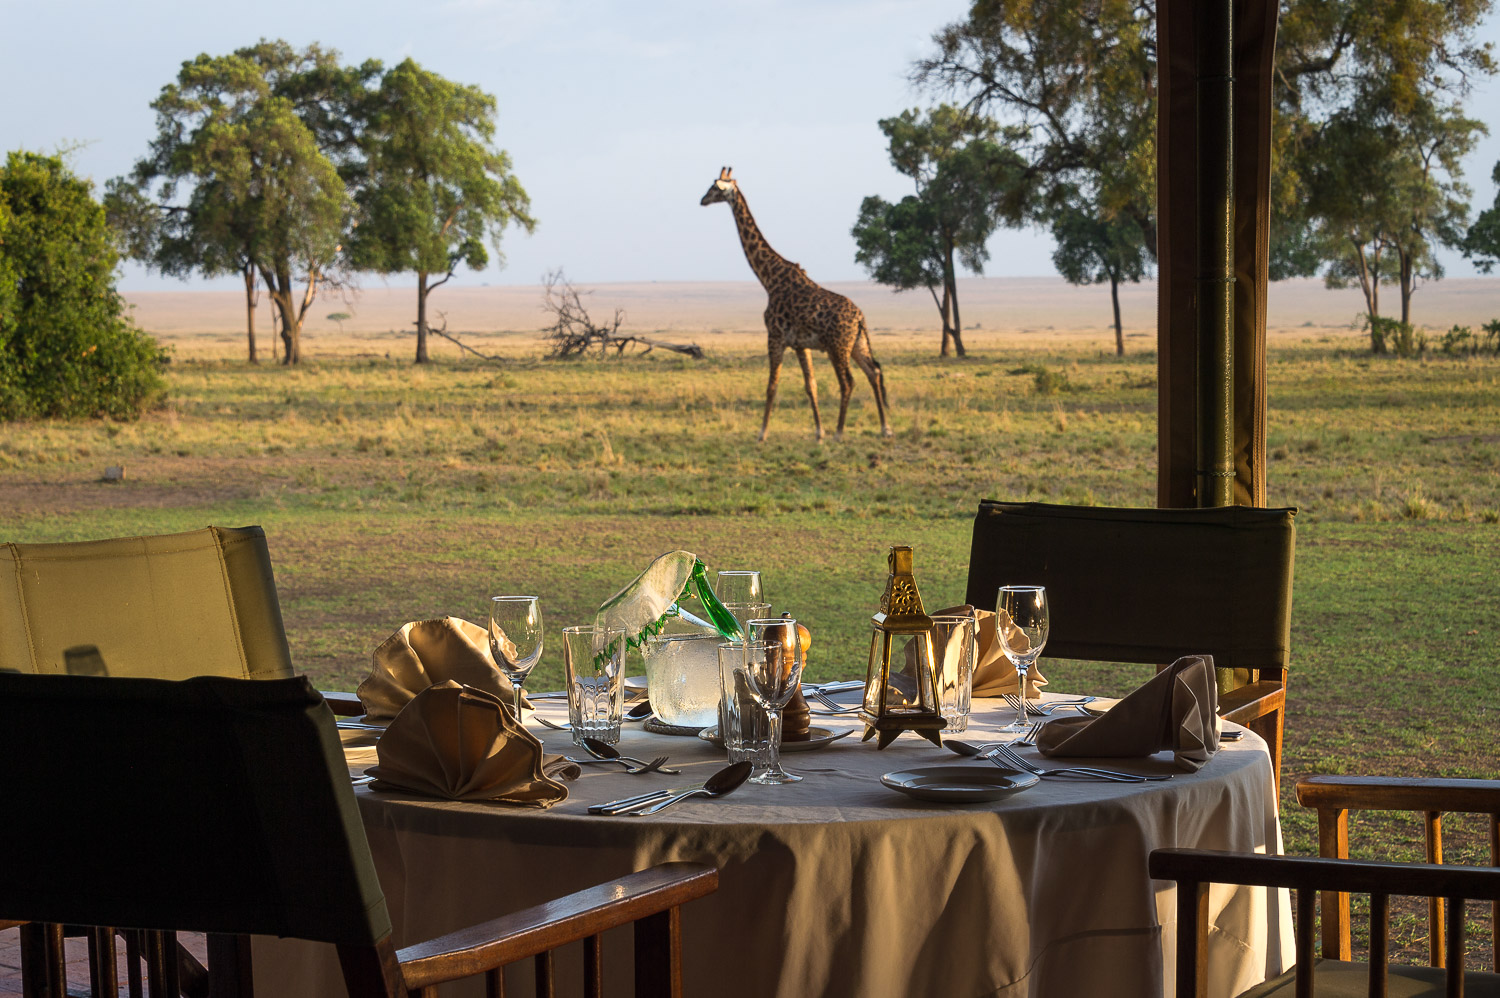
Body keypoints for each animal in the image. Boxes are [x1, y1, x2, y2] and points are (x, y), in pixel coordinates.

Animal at [700, 167, 892, 443]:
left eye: (715, 188)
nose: (701, 200)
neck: (768, 278)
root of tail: (859, 318)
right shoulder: (802, 344)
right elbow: (810, 386)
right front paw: (819, 432)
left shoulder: (775, 336)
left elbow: (771, 386)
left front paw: (762, 433)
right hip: (858, 344)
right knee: (873, 372)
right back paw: (885, 428)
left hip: (837, 347)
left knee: (848, 382)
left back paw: (840, 432)